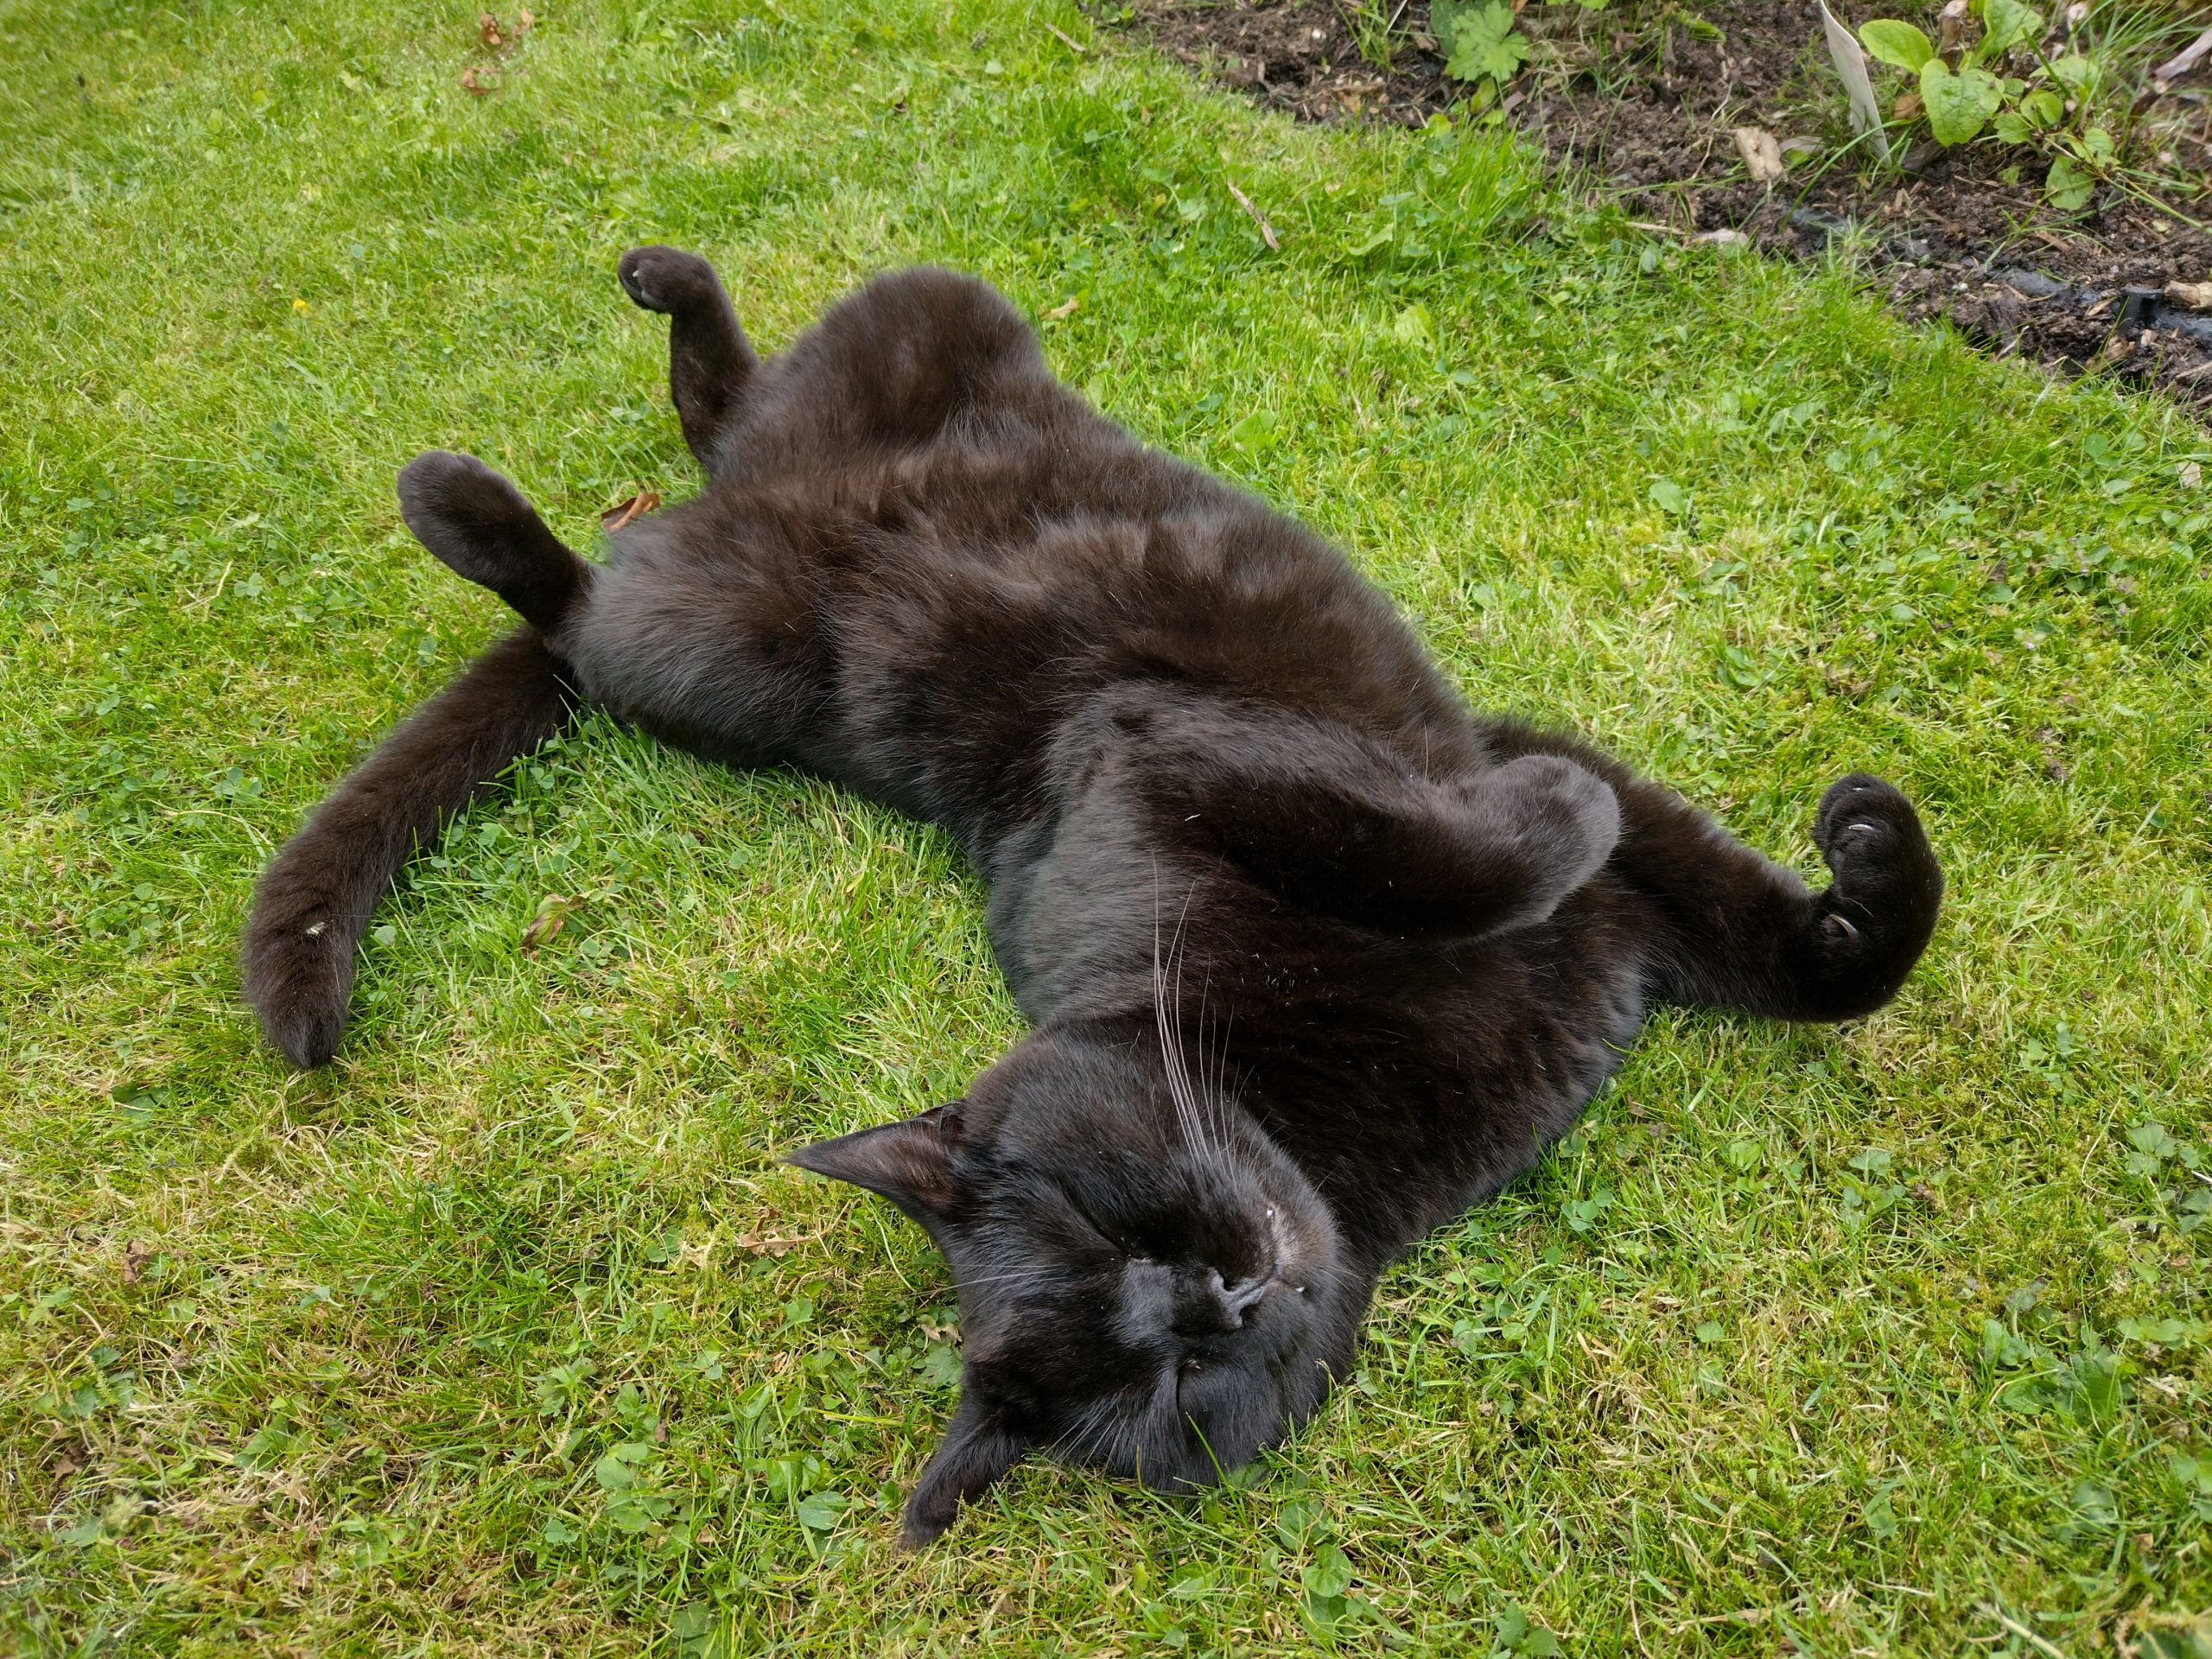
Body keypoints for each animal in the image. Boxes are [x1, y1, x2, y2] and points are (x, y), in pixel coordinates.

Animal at [242, 246, 1943, 1547]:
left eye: (1108, 1216)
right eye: (1157, 1391)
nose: (1218, 1299)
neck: (1341, 1121)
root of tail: (741, 520)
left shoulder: (1189, 754)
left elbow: (1743, 930)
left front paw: (1859, 854)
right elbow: (1541, 860)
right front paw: (1599, 824)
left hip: (921, 340)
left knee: (711, 430)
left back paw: (581, 368)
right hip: (705, 664)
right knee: (589, 599)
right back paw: (467, 501)